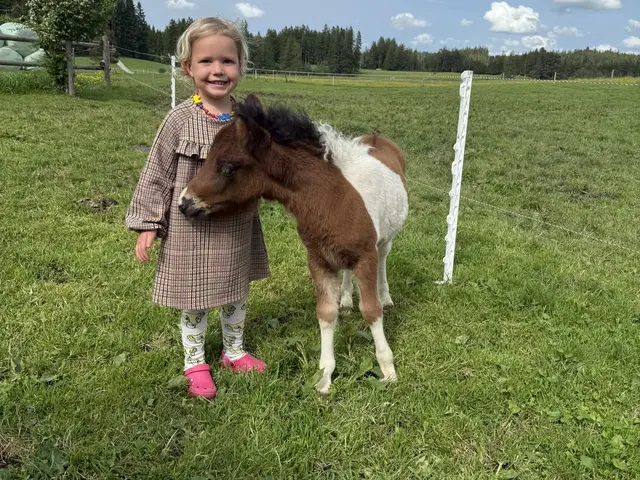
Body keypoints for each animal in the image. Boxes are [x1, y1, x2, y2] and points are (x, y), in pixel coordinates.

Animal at [179, 94, 408, 395]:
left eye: (227, 167)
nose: (184, 203)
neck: (332, 198)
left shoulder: (365, 257)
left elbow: (371, 310)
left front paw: (388, 370)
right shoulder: (319, 259)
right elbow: (326, 312)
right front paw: (324, 377)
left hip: (383, 242)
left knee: (383, 259)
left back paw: (386, 296)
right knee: (348, 275)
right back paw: (347, 300)